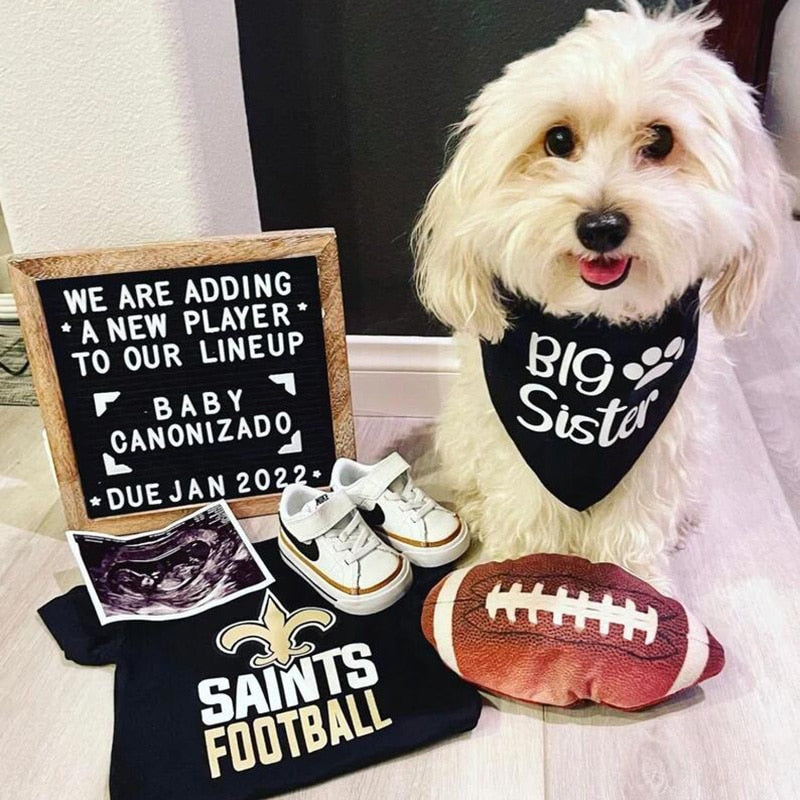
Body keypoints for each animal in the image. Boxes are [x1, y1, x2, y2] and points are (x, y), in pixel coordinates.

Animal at [416, 0, 792, 588]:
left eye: (660, 140)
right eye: (558, 141)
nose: (600, 226)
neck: (595, 333)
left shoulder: (656, 452)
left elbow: (632, 531)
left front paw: (633, 584)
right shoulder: (518, 453)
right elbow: (528, 517)